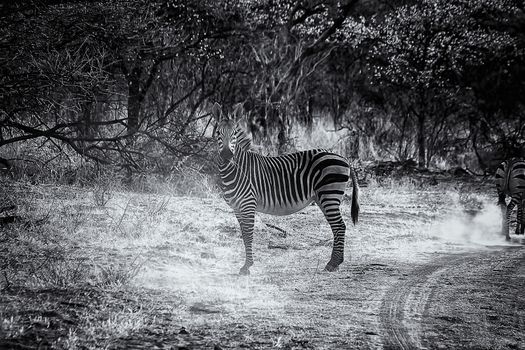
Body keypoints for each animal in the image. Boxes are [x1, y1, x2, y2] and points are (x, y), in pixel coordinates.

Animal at [211, 102, 358, 274]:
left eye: (234, 133)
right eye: (218, 133)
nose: (227, 155)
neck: (236, 168)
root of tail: (343, 158)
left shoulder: (248, 204)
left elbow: (248, 234)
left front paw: (247, 266)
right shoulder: (237, 207)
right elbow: (243, 234)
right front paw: (247, 265)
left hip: (329, 194)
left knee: (339, 226)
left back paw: (333, 263)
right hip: (323, 197)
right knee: (337, 226)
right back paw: (335, 262)